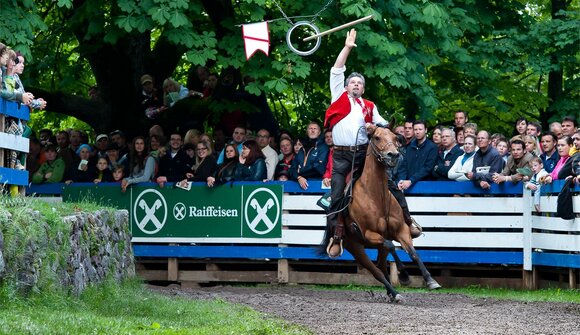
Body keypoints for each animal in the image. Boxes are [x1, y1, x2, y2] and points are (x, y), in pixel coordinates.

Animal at [322, 124, 440, 304]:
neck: (376, 196)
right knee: (377, 271)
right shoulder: (369, 234)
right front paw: (404, 275)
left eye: (395, 137)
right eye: (377, 137)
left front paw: (430, 280)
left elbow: (413, 253)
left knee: (382, 266)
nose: (394, 155)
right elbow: (391, 245)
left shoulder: (401, 230)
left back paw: (393, 294)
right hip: (355, 247)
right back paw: (395, 292)